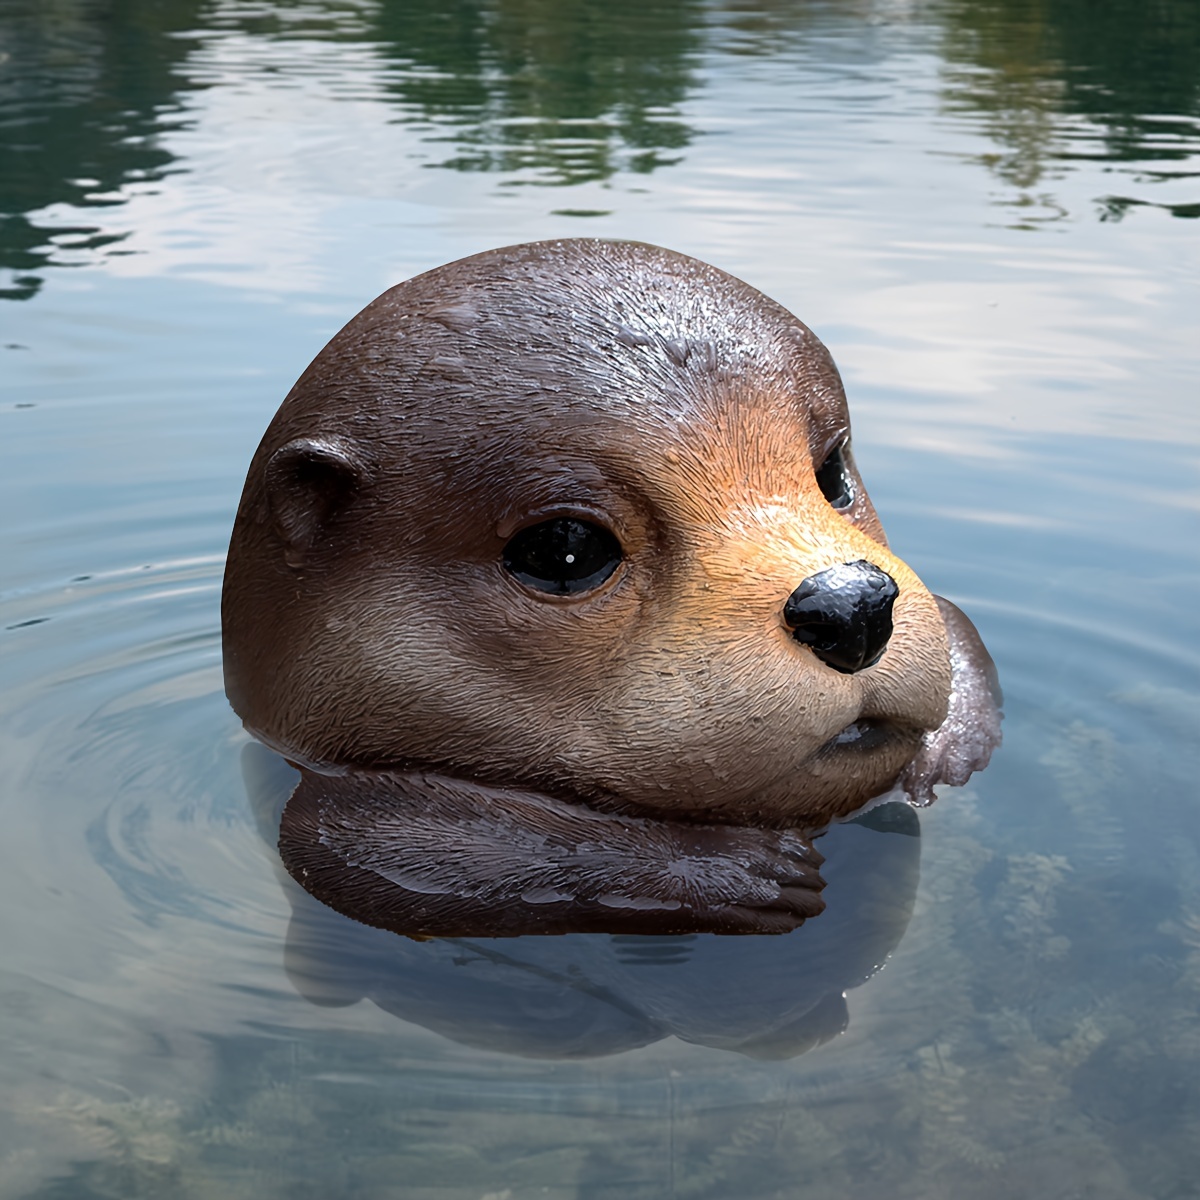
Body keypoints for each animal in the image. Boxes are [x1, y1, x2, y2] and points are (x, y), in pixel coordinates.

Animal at [222, 239, 1001, 938]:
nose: (852, 605)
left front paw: (947, 748)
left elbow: (956, 619)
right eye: (565, 550)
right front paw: (729, 869)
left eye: (833, 470)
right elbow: (347, 846)